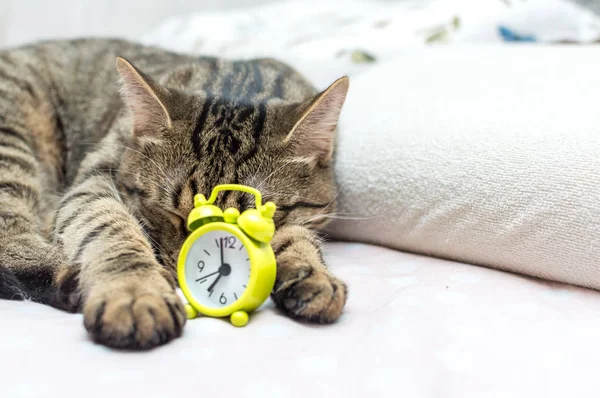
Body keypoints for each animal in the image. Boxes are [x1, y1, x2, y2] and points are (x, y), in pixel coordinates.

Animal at [0, 37, 346, 348]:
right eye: (171, 214)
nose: (189, 273)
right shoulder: (94, 178)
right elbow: (110, 228)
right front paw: (136, 292)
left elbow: (295, 235)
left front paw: (311, 273)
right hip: (11, 148)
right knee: (11, 239)